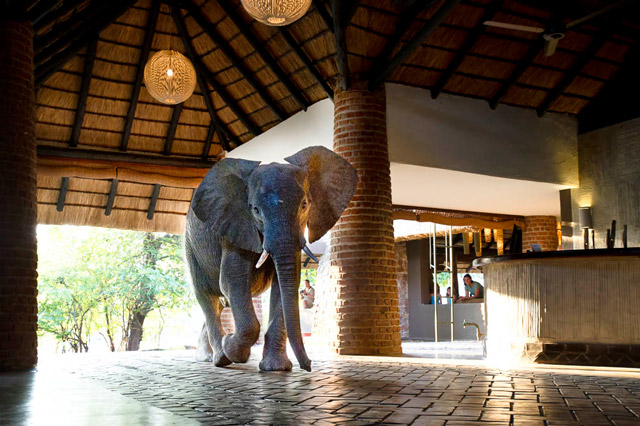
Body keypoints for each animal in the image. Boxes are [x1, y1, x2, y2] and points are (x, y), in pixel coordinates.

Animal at [185, 146, 357, 371]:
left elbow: (284, 284)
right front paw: (231, 346)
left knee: (220, 302)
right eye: (255, 210)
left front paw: (276, 368)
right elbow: (232, 280)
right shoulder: (234, 226)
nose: (308, 365)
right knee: (207, 297)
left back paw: (210, 356)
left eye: (304, 204)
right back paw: (220, 357)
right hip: (191, 248)